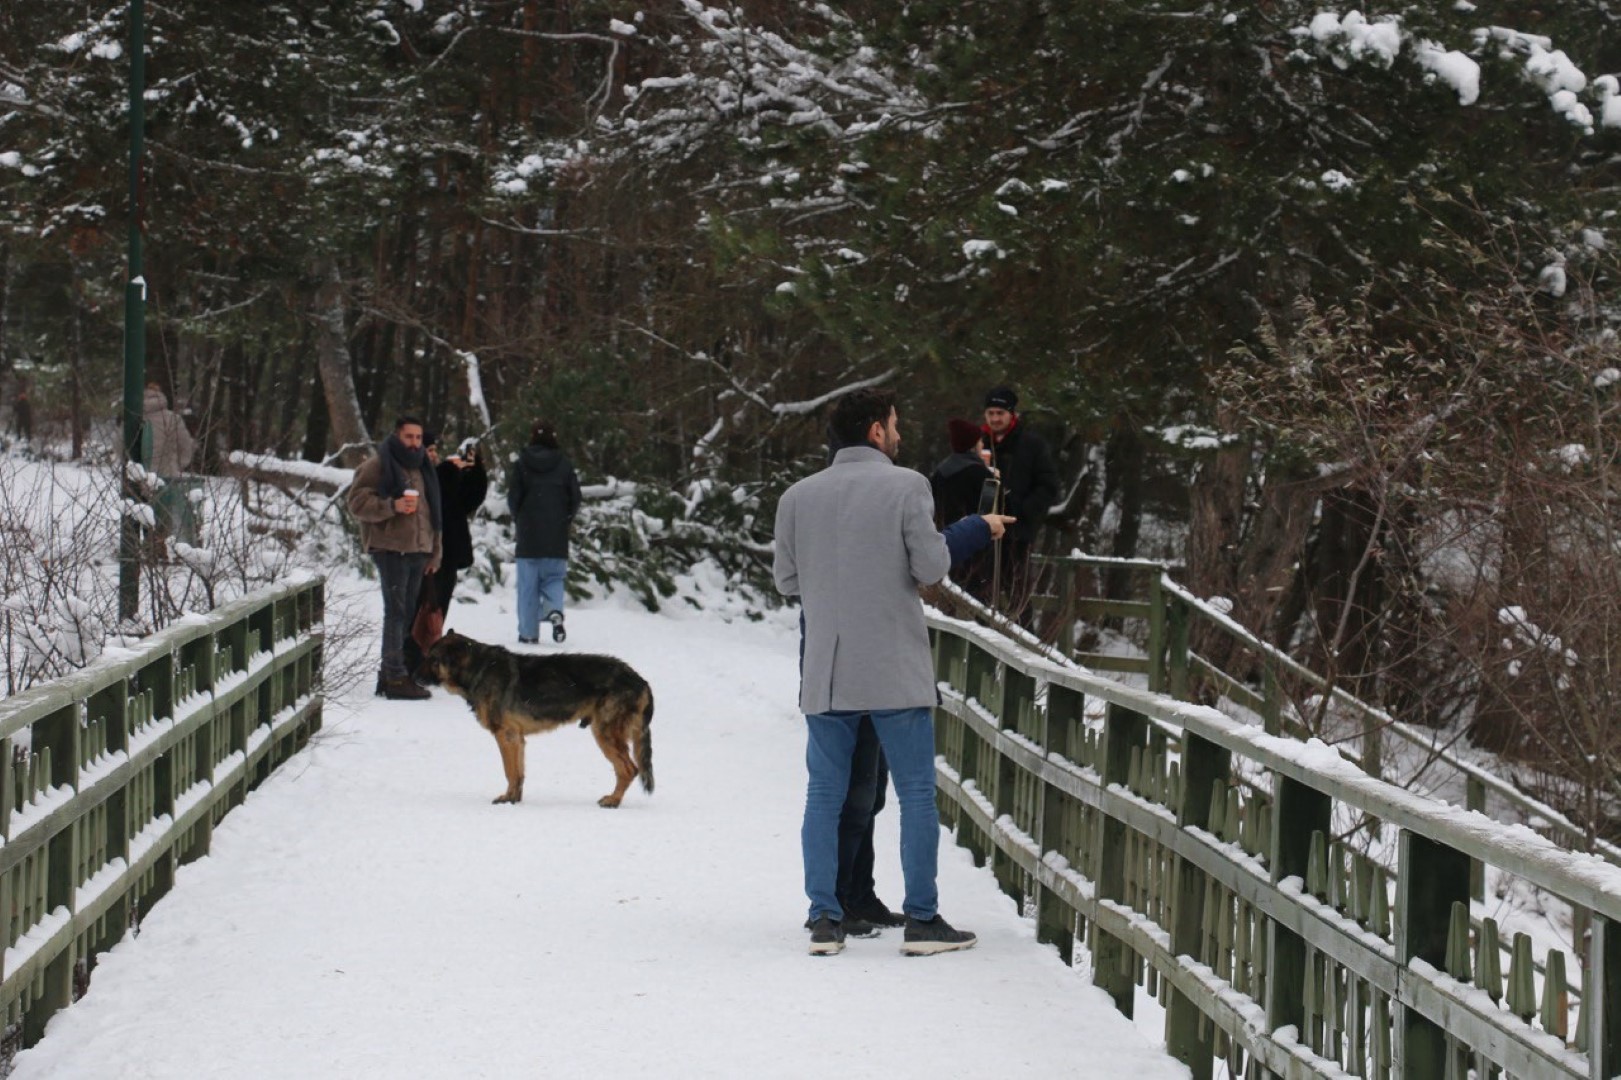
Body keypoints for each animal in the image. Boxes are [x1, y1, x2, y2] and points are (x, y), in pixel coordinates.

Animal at [421, 625, 654, 804]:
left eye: (433, 660)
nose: (415, 676)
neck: (478, 669)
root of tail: (640, 680)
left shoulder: (505, 736)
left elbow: (509, 771)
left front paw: (507, 799)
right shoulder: (517, 739)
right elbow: (518, 773)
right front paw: (514, 799)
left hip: (604, 734)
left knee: (629, 769)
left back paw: (613, 801)